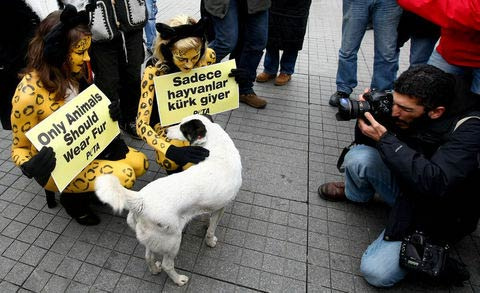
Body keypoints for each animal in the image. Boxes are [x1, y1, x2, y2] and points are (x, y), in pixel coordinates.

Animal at [95, 114, 242, 286]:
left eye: (182, 128)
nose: (164, 130)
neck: (217, 146)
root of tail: (140, 199)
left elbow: (207, 215)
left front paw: (205, 221)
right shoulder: (221, 208)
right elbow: (211, 230)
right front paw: (210, 241)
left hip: (153, 239)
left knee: (148, 256)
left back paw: (154, 270)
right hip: (172, 241)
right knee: (167, 265)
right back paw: (179, 280)